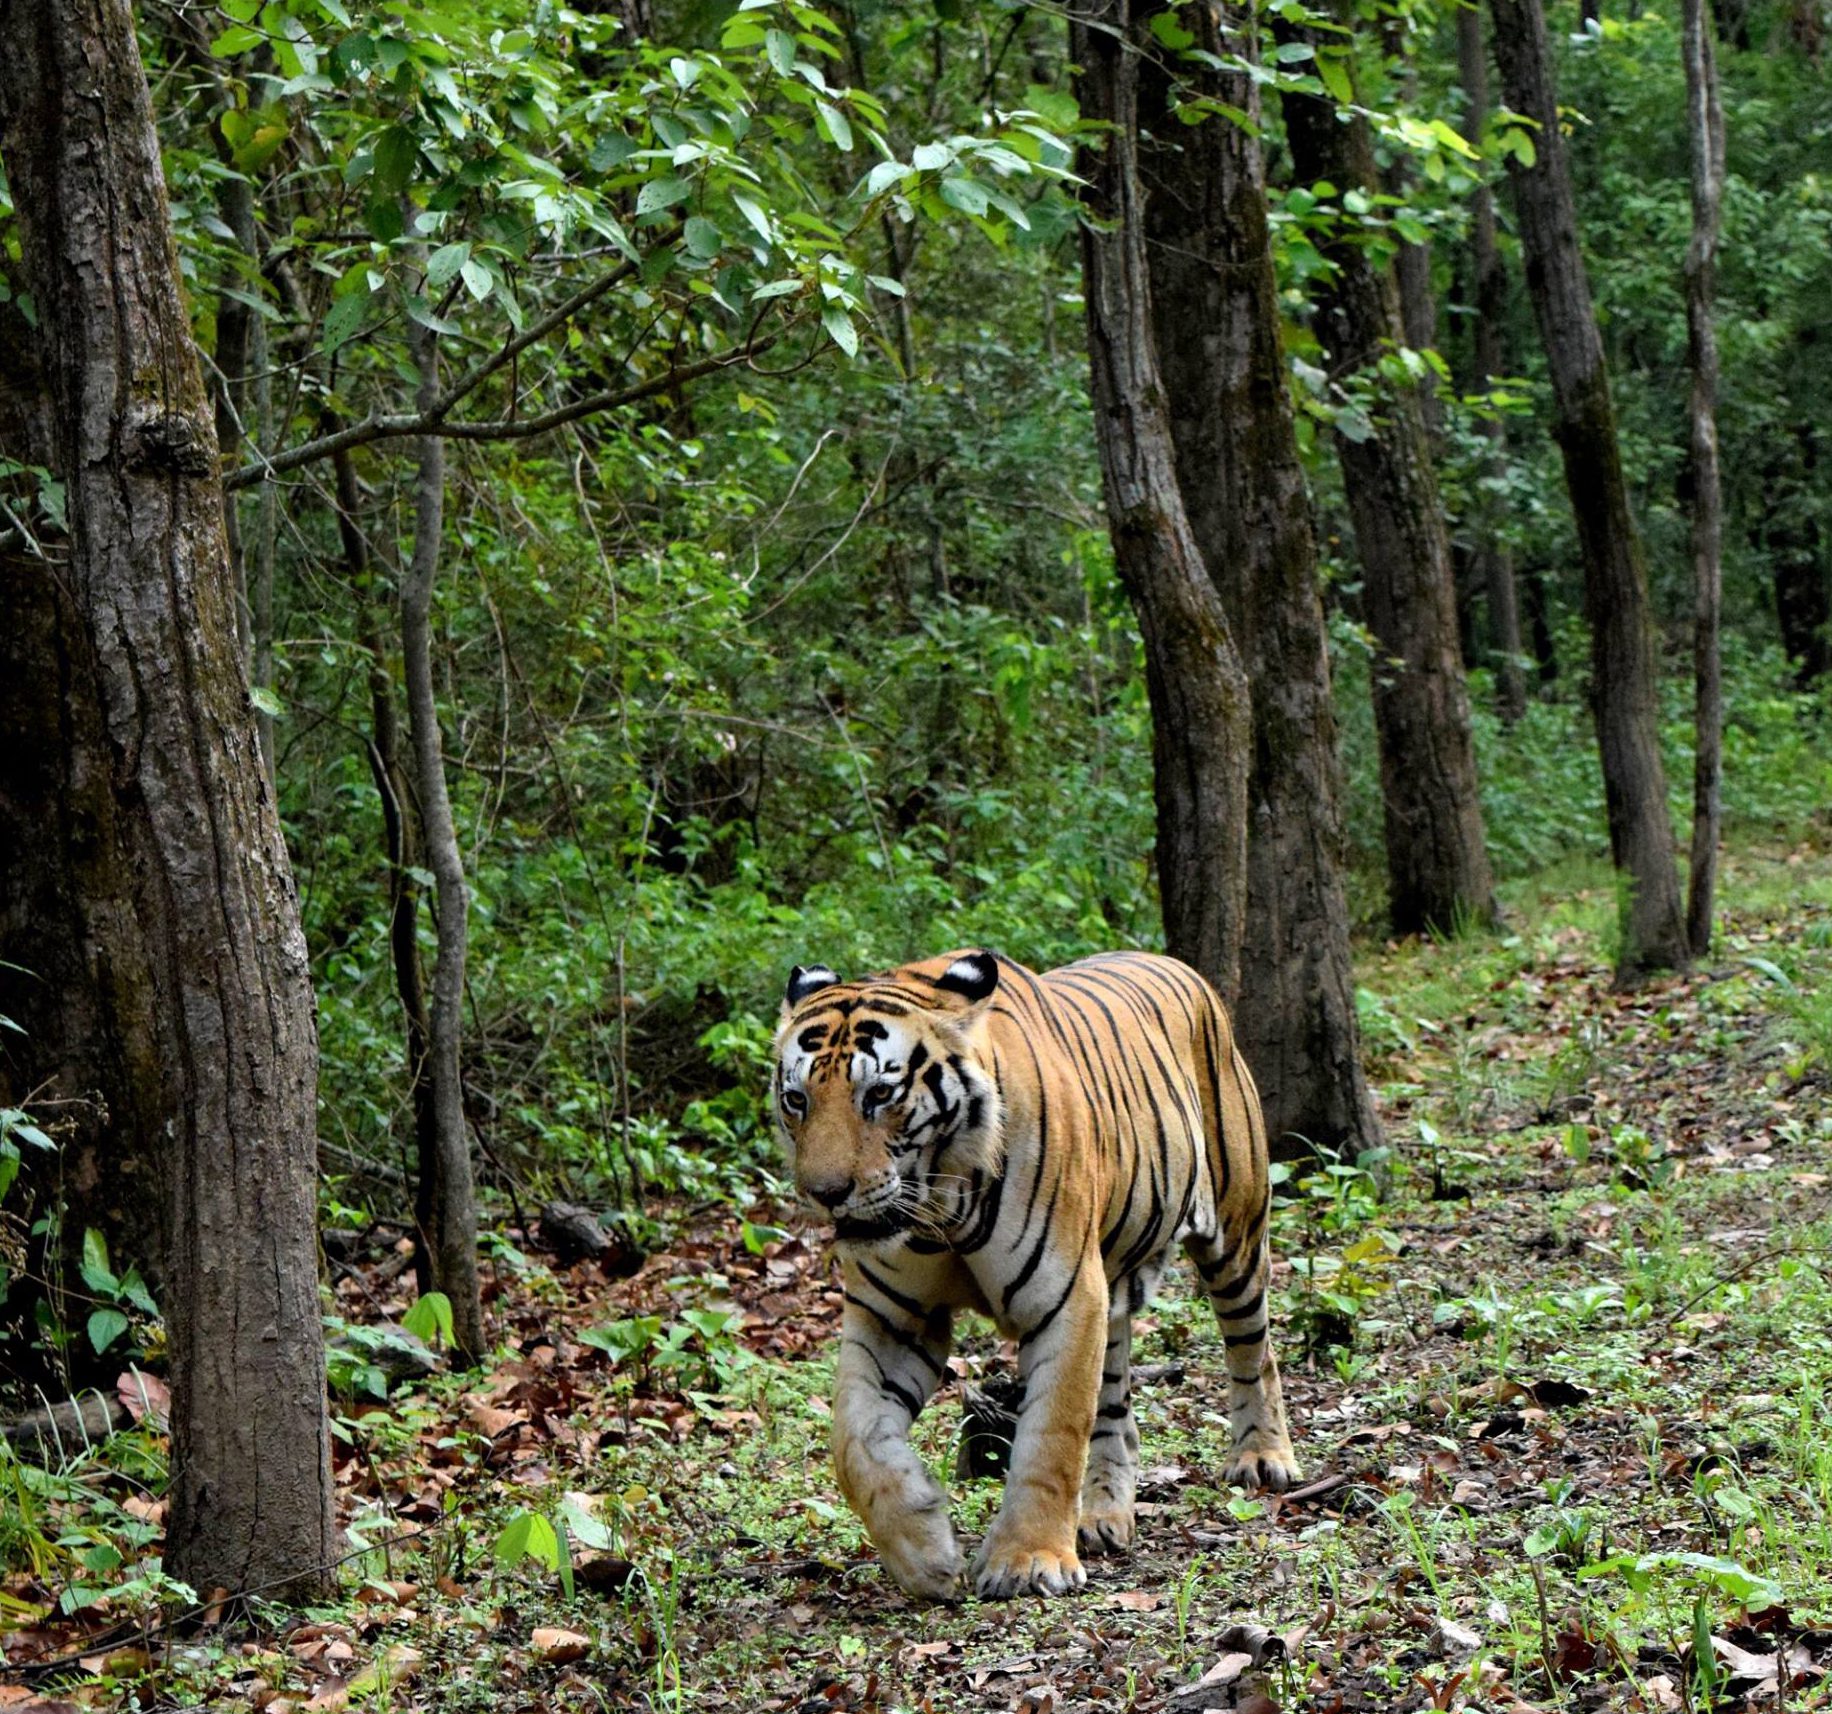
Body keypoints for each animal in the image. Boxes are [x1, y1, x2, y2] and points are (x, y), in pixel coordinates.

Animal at [771, 947, 1298, 1602]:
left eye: (881, 1093)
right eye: (797, 1099)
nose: (824, 1194)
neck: (941, 1209)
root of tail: (1176, 964)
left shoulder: (1066, 1299)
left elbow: (1052, 1436)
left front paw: (1028, 1560)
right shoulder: (893, 1320)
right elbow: (854, 1442)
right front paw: (924, 1552)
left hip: (1236, 1233)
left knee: (1255, 1351)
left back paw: (1262, 1459)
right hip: (1113, 1283)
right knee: (1115, 1411)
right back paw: (1102, 1516)